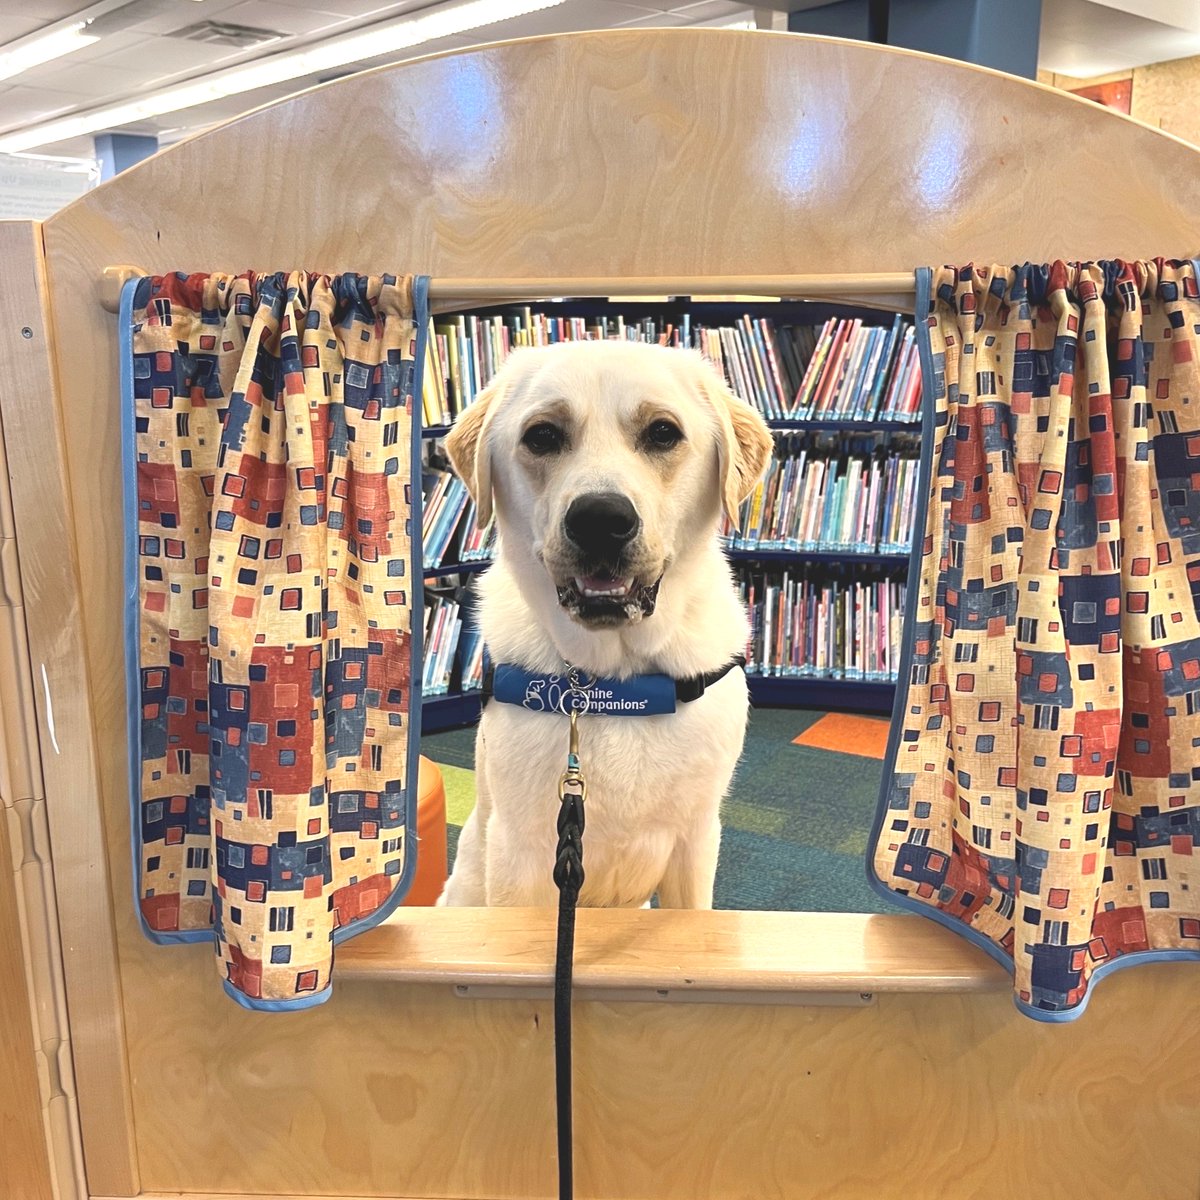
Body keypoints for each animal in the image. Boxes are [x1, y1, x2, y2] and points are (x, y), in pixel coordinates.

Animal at [436, 340, 772, 907]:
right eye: (542, 435)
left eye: (662, 432)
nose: (600, 519)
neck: (617, 677)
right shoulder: (517, 853)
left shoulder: (697, 840)